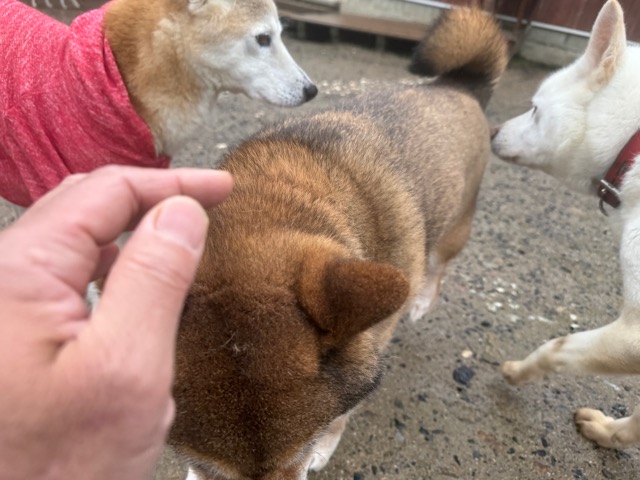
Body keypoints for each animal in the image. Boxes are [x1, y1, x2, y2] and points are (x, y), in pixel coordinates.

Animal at [167, 7, 508, 479]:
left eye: (298, 457)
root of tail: (458, 86)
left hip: (454, 229)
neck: (269, 199)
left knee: (439, 267)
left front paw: (325, 446)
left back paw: (422, 301)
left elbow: (341, 415)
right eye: (214, 470)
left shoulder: (371, 339)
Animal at [491, 0, 640, 449]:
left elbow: (555, 346)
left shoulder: (633, 334)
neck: (632, 141)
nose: (493, 130)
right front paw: (611, 432)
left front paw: (518, 372)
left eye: (535, 107)